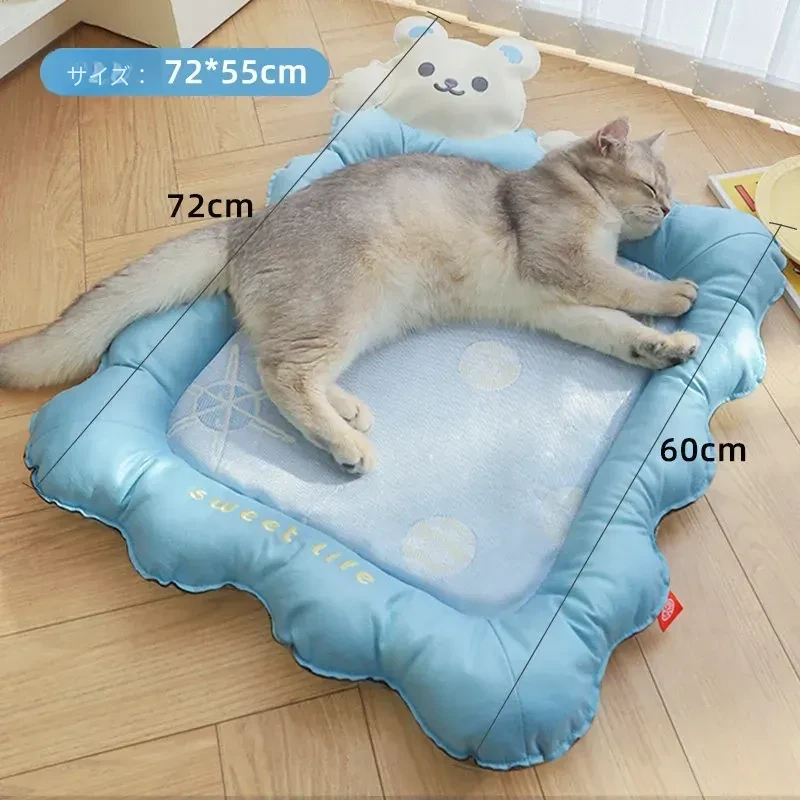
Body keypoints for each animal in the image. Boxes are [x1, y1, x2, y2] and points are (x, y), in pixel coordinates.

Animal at [0, 117, 698, 474]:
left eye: (668, 188)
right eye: (651, 184)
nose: (669, 209)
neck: (574, 187)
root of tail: (246, 226)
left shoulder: (555, 304)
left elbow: (613, 326)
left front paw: (660, 348)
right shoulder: (566, 263)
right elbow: (624, 285)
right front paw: (675, 294)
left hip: (364, 318)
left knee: (288, 363)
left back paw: (347, 412)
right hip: (347, 302)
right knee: (279, 372)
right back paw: (346, 446)